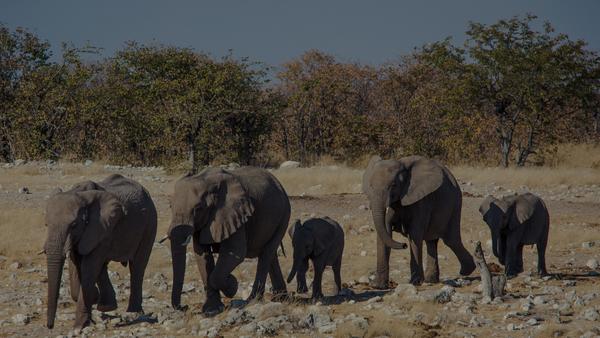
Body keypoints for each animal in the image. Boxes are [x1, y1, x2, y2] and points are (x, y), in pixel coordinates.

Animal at [44, 176, 157, 328]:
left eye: (74, 225)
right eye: (46, 224)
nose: (49, 326)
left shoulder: (100, 229)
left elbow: (89, 267)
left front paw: (80, 325)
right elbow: (79, 263)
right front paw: (94, 301)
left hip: (150, 224)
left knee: (137, 267)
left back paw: (134, 312)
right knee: (103, 267)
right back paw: (106, 306)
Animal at [166, 166, 290, 316]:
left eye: (198, 209)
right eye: (171, 206)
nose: (185, 307)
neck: (206, 181)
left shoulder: (234, 213)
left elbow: (235, 253)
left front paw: (232, 286)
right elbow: (202, 256)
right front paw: (212, 310)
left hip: (284, 214)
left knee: (266, 254)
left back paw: (252, 301)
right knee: (270, 255)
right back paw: (281, 298)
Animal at [364, 155, 476, 286]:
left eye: (393, 185)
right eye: (370, 186)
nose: (403, 245)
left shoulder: (421, 199)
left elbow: (415, 234)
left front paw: (415, 282)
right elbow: (384, 233)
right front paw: (377, 285)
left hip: (455, 203)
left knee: (451, 240)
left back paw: (466, 271)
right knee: (431, 241)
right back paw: (431, 280)